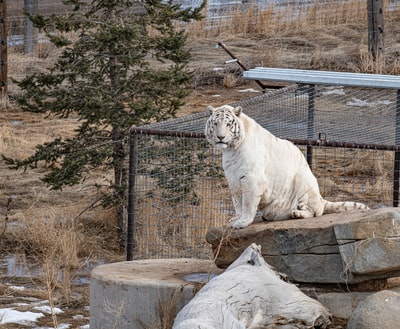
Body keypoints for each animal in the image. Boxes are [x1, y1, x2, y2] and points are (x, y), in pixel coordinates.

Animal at [206, 104, 368, 228]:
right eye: (215, 123)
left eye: (228, 124)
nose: (221, 137)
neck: (231, 150)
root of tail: (321, 197)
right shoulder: (233, 180)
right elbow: (237, 202)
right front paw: (234, 219)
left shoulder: (252, 179)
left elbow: (247, 203)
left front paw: (242, 222)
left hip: (304, 183)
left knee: (316, 211)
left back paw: (296, 213)